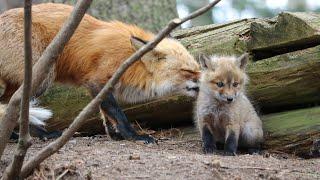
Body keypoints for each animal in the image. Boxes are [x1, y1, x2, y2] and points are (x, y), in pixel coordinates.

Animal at [0, 3, 200, 143]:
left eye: (198, 69)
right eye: (187, 71)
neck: (131, 60)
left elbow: (105, 114)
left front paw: (114, 135)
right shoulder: (98, 80)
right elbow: (117, 113)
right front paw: (133, 136)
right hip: (42, 78)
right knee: (15, 105)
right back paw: (41, 135)